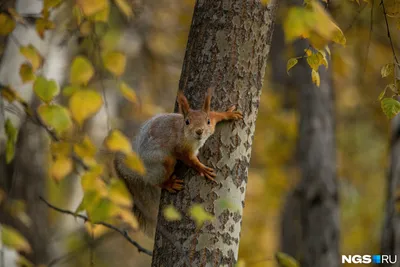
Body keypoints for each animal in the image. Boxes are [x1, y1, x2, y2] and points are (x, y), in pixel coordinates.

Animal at [114, 88, 242, 237]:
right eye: (187, 122)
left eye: (208, 121)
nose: (199, 131)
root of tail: (138, 167)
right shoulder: (180, 149)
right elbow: (189, 160)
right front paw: (202, 169)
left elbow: (215, 114)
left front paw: (228, 113)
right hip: (162, 163)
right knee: (156, 180)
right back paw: (169, 184)